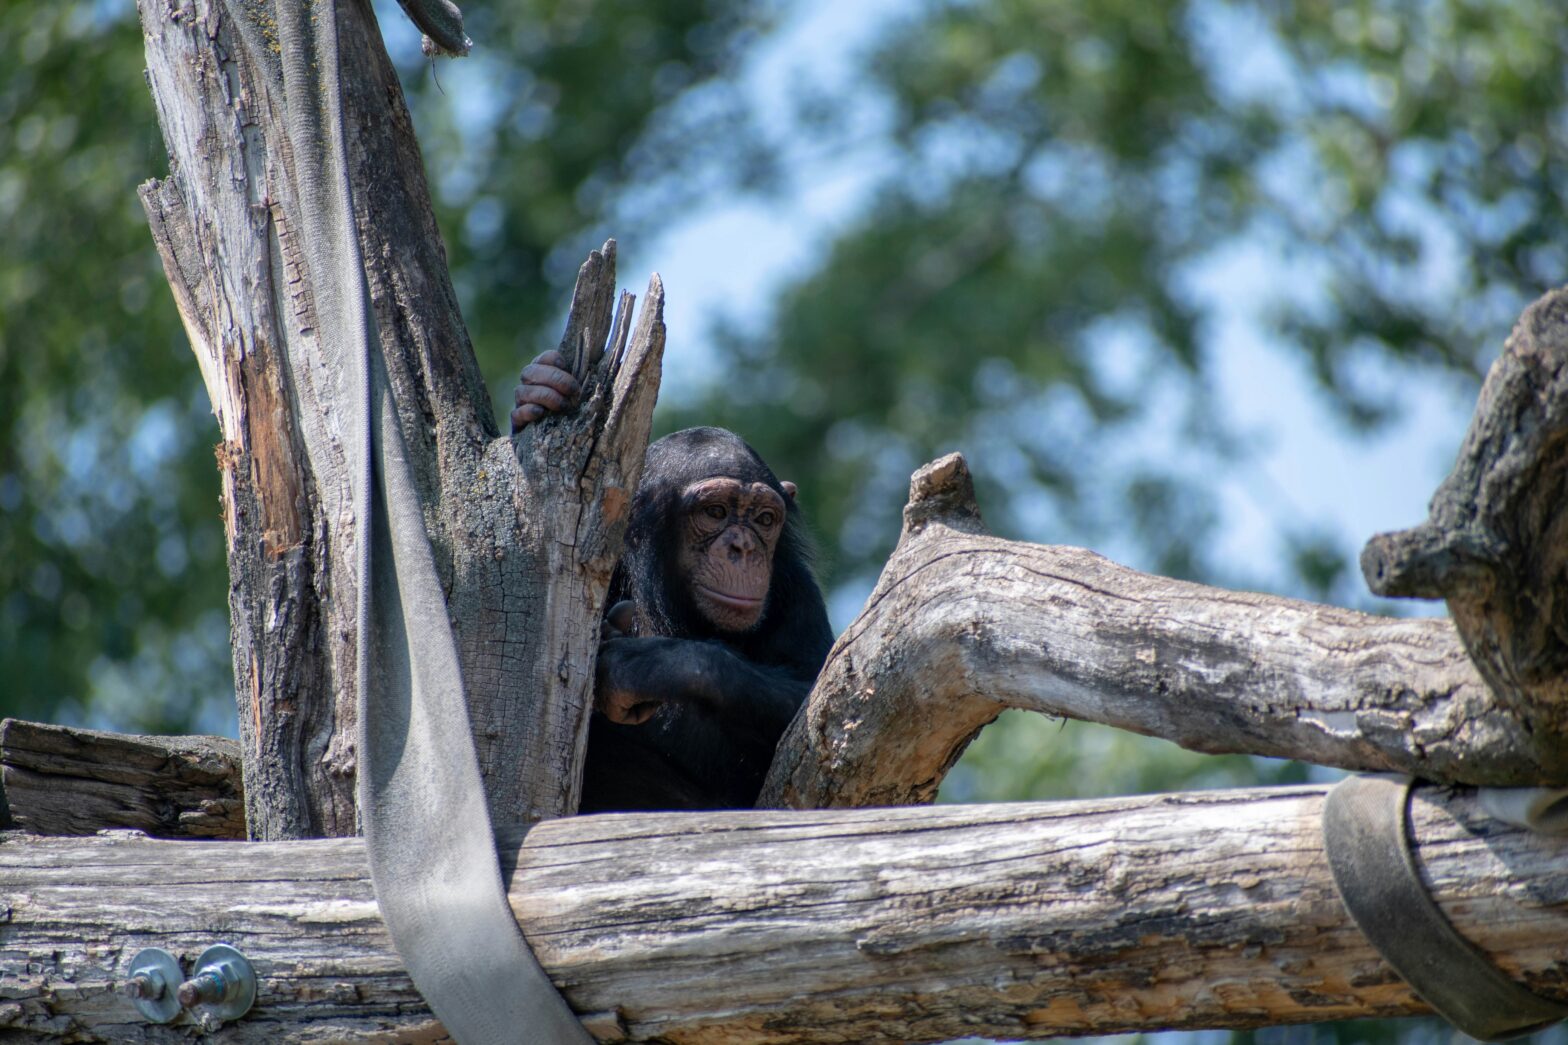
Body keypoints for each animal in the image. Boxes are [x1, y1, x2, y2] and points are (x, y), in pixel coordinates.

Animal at [511, 354, 834, 809]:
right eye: (715, 512)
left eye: (764, 519)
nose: (743, 547)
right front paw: (540, 393)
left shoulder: (798, 589)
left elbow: (818, 697)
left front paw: (651, 665)